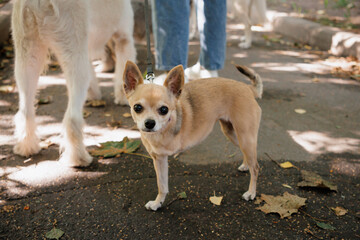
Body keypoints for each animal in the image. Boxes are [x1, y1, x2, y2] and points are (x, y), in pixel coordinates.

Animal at [11, 0, 136, 167]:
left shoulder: (88, 50)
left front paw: (94, 96)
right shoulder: (124, 39)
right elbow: (123, 71)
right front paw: (123, 98)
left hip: (27, 56)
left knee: (25, 111)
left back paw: (26, 146)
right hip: (74, 54)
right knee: (72, 119)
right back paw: (79, 158)